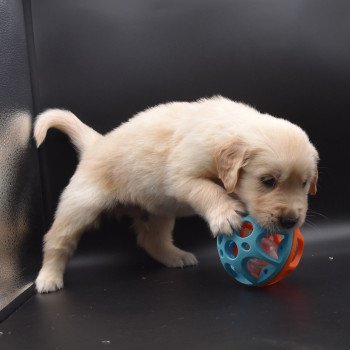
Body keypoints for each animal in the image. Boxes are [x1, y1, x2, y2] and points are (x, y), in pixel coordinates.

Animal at [34, 95, 318, 292]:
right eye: (268, 181)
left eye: (305, 183)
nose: (290, 222)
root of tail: (97, 142)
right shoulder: (181, 176)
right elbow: (208, 189)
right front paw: (225, 214)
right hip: (81, 204)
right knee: (56, 240)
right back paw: (48, 278)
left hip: (158, 211)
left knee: (152, 240)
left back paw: (176, 257)